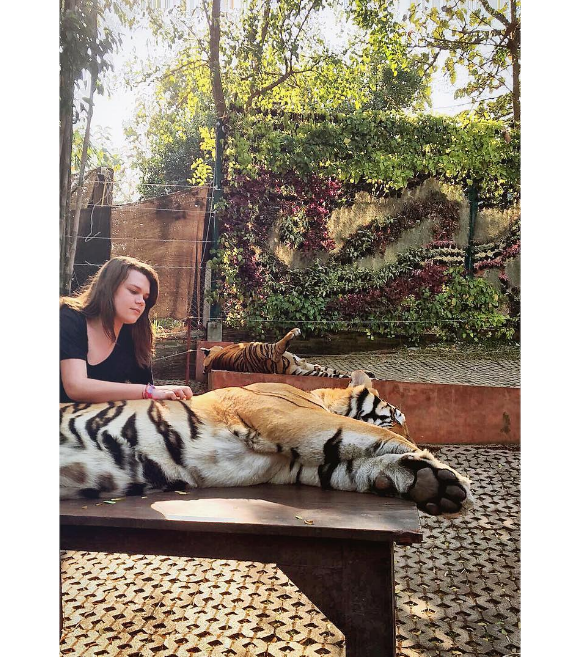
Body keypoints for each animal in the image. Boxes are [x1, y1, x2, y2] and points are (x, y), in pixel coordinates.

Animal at [60, 372, 472, 516]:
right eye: (398, 418)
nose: (418, 439)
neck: (316, 397)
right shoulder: (291, 419)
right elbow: (374, 436)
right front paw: (446, 471)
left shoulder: (296, 466)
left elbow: (354, 465)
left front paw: (429, 483)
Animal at [203, 328, 376, 380]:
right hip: (259, 348)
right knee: (276, 349)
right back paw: (293, 332)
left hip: (308, 367)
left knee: (335, 373)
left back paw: (369, 374)